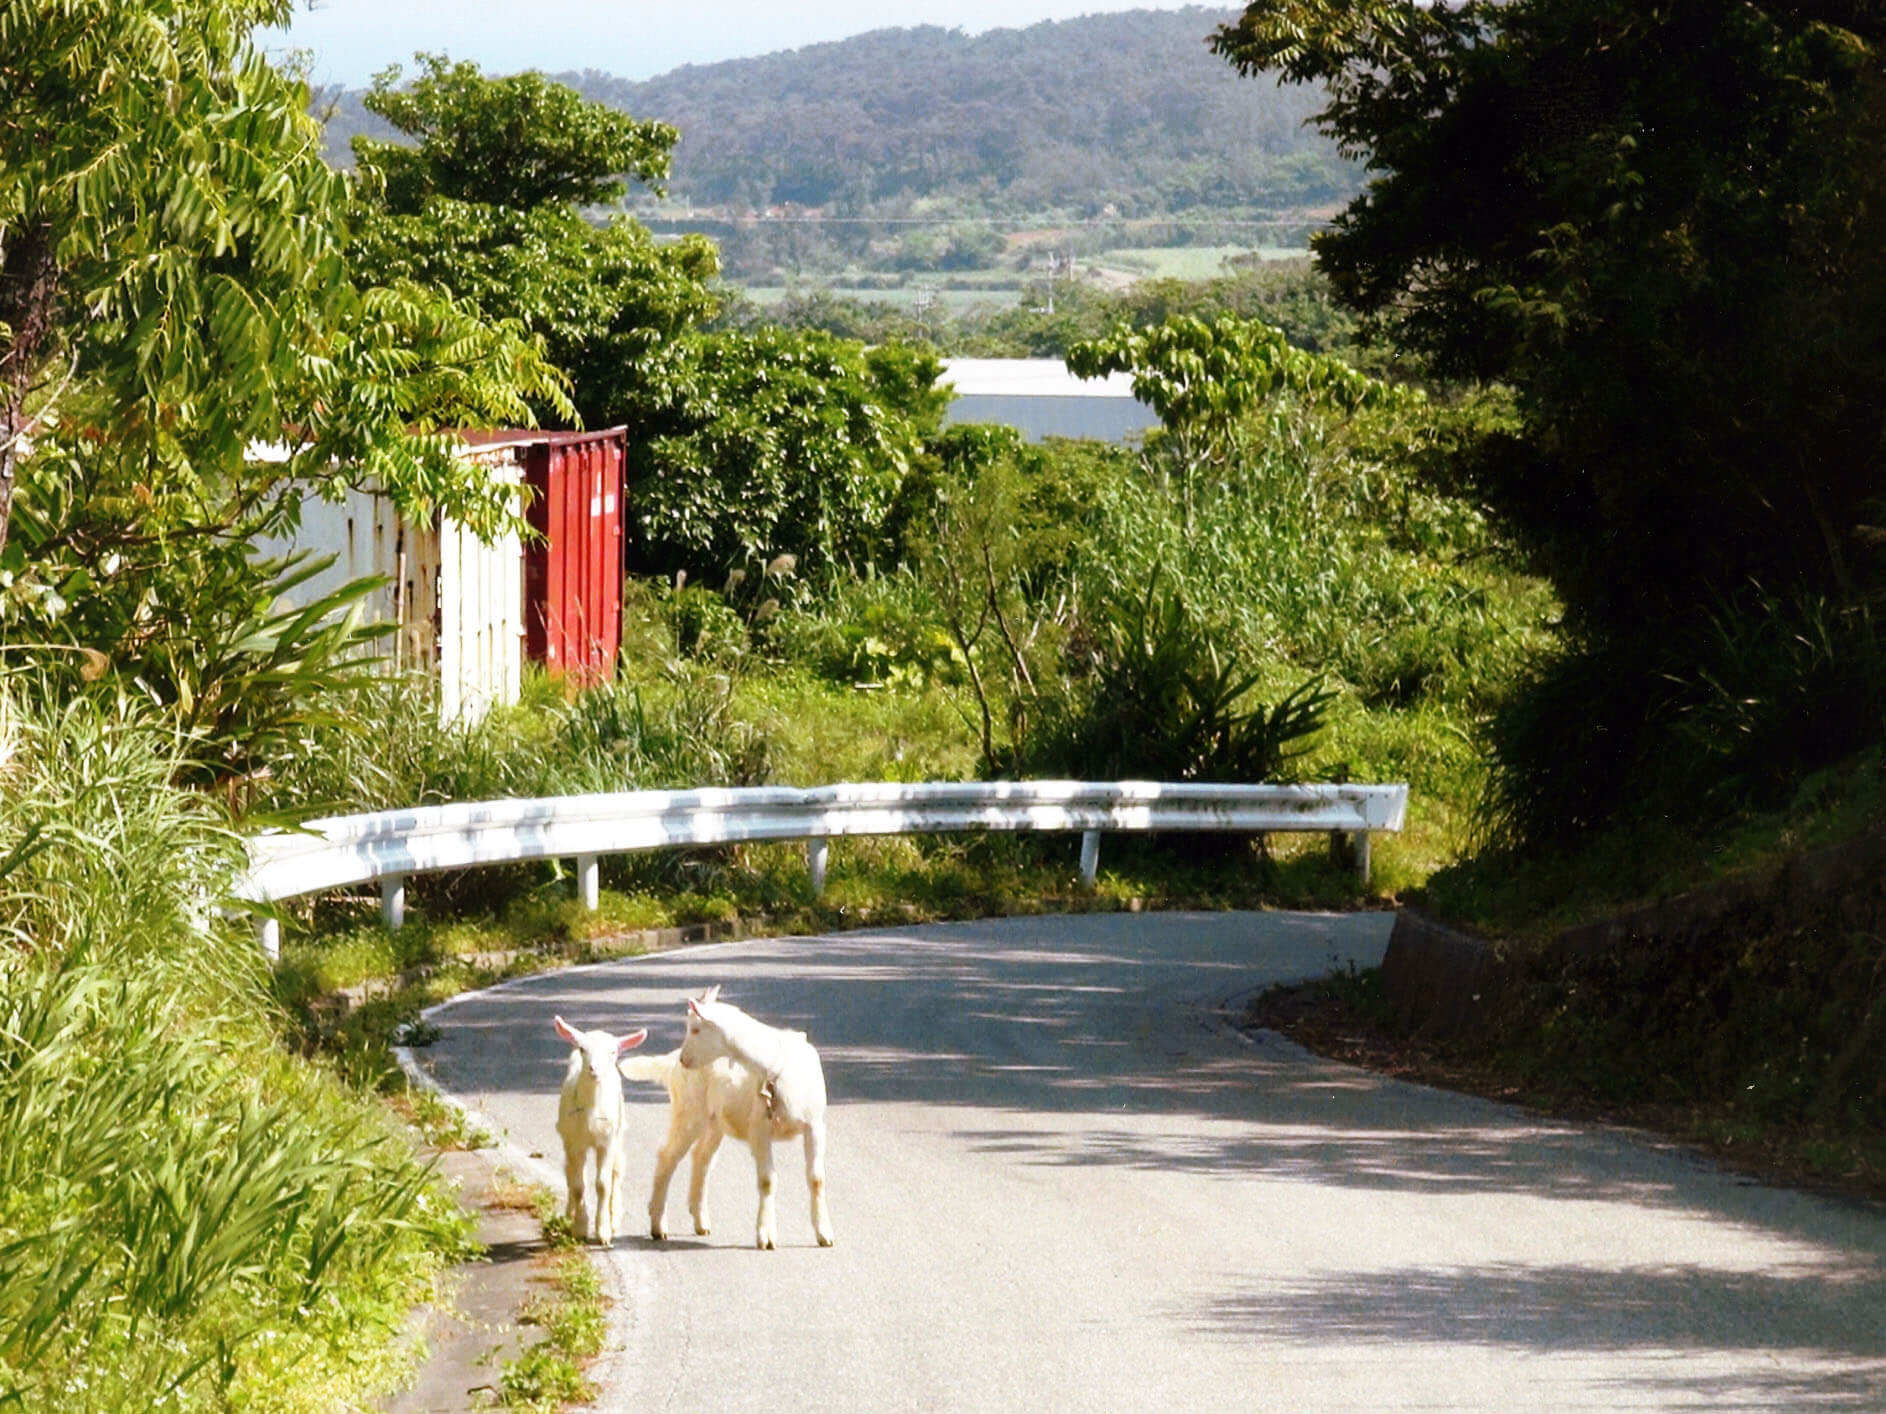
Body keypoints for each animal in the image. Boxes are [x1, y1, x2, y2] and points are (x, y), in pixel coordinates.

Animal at [550, 1025, 648, 1244]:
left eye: (613, 1052)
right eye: (582, 1049)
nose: (594, 1069)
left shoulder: (607, 1142)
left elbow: (603, 1184)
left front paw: (603, 1231)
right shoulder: (575, 1143)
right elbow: (578, 1186)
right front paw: (580, 1227)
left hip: (618, 1134)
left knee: (617, 1171)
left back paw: (614, 1216)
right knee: (569, 1171)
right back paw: (569, 1213)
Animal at [618, 987, 833, 1251]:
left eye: (695, 1029)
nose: (684, 1059)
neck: (775, 1067)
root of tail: (671, 1063)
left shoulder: (815, 1125)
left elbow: (816, 1179)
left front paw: (824, 1234)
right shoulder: (759, 1127)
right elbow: (767, 1180)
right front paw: (766, 1236)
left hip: (715, 1122)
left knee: (702, 1157)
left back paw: (700, 1221)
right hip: (689, 1111)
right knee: (667, 1156)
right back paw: (658, 1225)